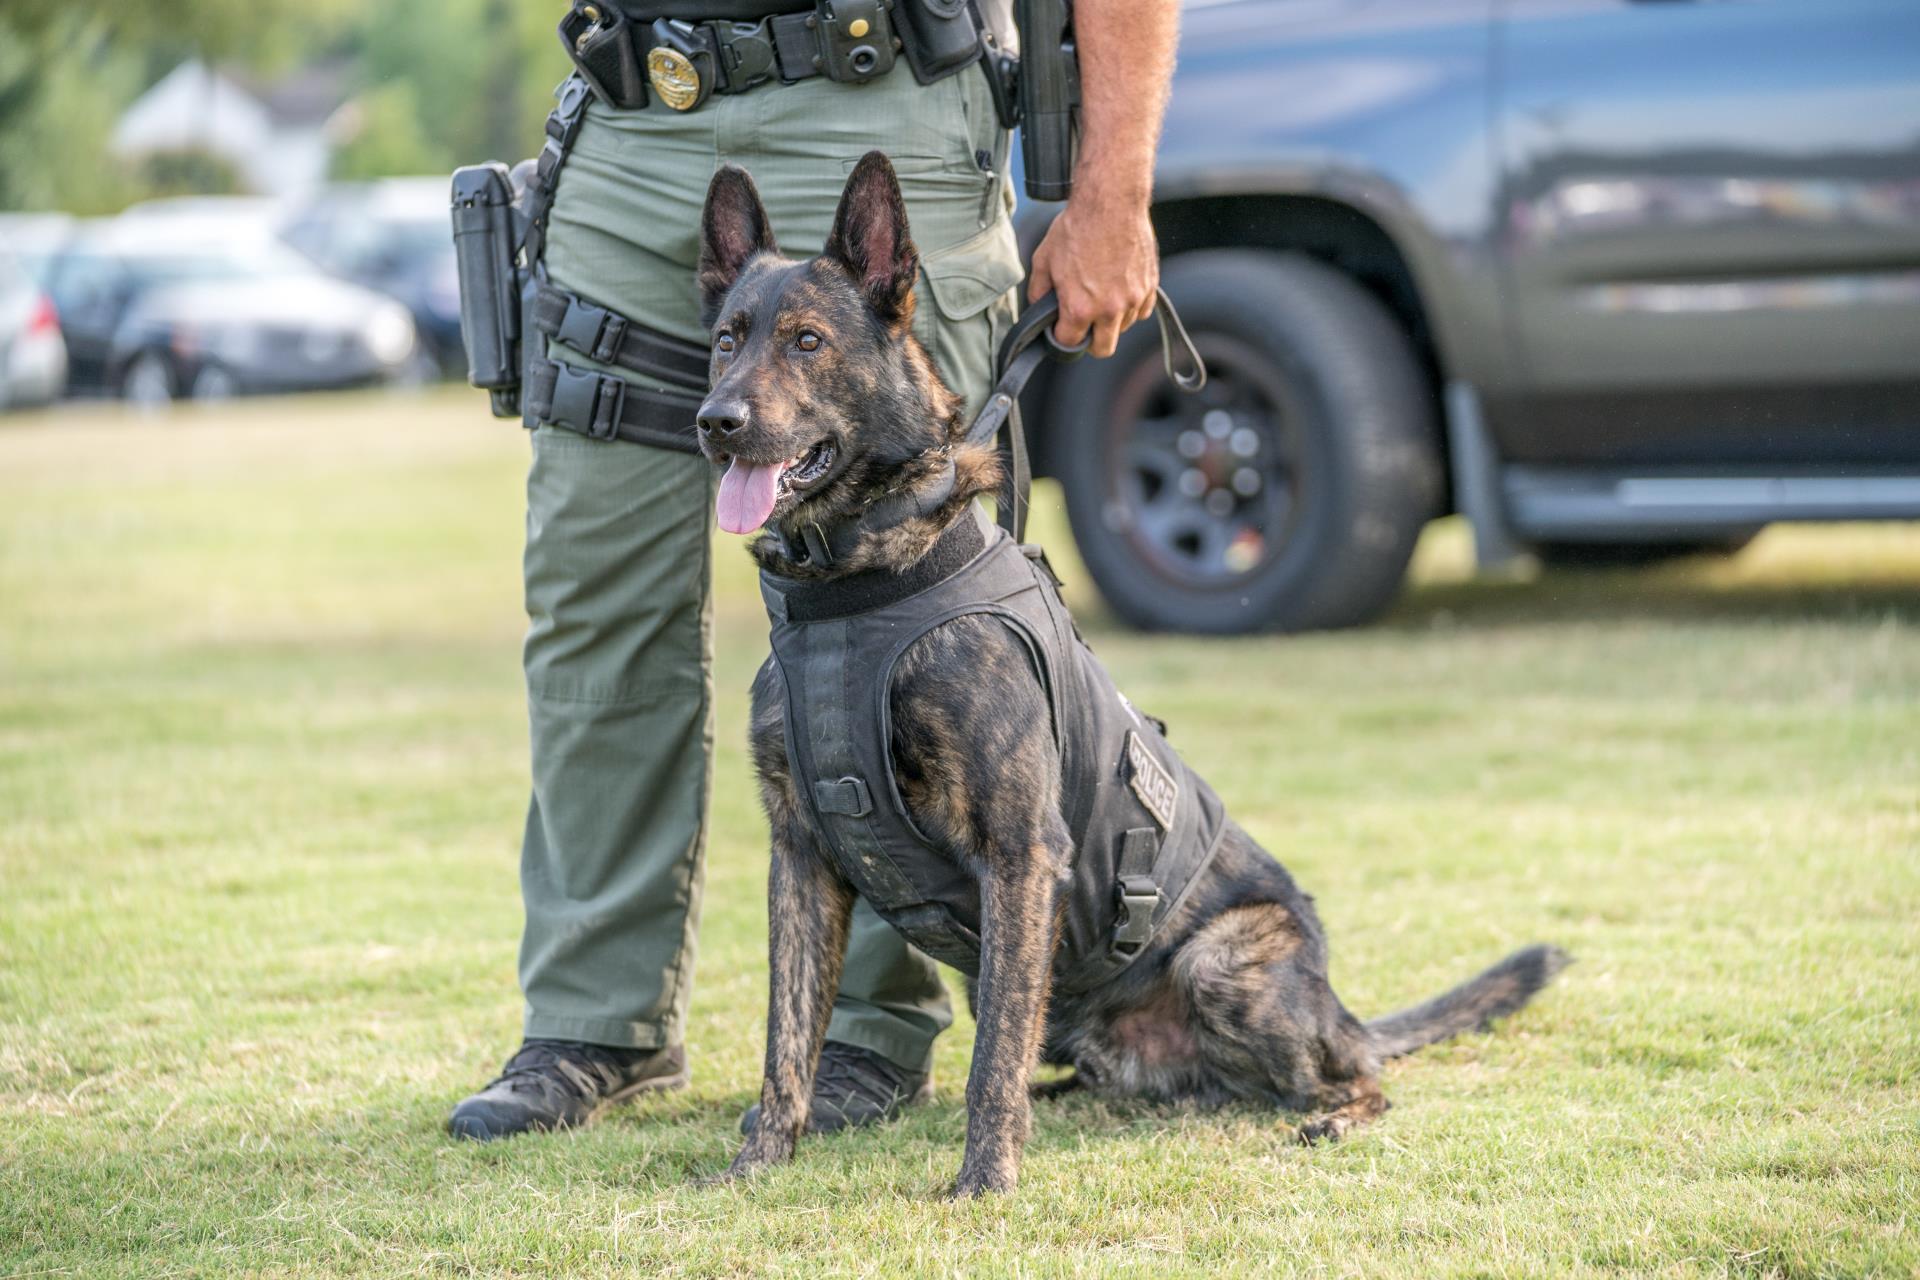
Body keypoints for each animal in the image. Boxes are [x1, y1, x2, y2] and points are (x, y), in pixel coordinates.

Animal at [698, 152, 1566, 1205]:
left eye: (808, 341)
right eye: (727, 341)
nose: (716, 422)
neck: (854, 592)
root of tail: (1342, 1010)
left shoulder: (1019, 852)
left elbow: (991, 1056)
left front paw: (985, 1178)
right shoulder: (800, 859)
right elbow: (786, 1041)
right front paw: (758, 1161)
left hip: (1225, 961)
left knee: (1354, 1077)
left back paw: (1328, 1115)